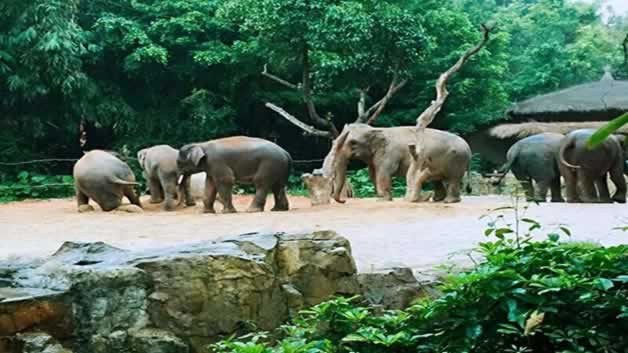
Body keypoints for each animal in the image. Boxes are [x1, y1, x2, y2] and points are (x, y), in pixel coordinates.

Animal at [334, 124, 472, 202]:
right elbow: (373, 174)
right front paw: (382, 198)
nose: (343, 201)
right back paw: (437, 199)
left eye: (353, 143)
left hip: (457, 160)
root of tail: (469, 149)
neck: (377, 129)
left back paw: (448, 201)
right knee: (437, 180)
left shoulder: (389, 153)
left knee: (453, 179)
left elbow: (383, 173)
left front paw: (383, 200)